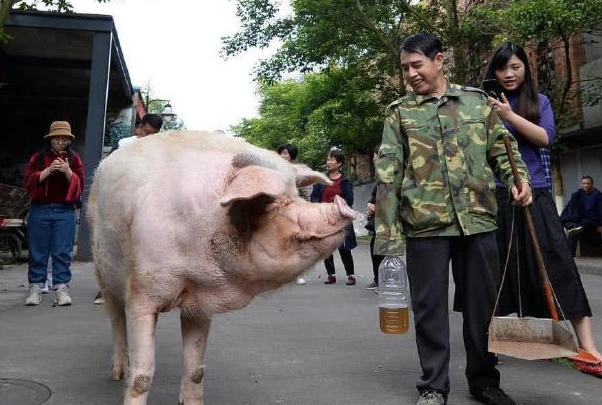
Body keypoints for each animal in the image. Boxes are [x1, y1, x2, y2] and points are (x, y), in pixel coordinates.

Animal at [86, 130, 354, 404]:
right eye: (274, 204)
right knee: (116, 320)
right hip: (102, 271)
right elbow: (142, 376)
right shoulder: (142, 293)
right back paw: (118, 373)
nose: (342, 204)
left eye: (297, 196)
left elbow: (195, 369)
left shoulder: (199, 303)